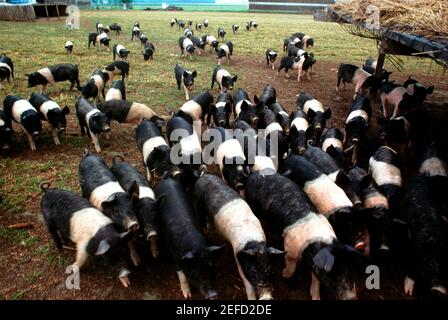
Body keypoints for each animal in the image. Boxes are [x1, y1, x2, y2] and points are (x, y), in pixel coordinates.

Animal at [243, 172, 358, 300]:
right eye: (333, 274)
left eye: (348, 271)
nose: (351, 297)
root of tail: (253, 175)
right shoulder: (290, 247)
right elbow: (291, 264)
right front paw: (284, 274)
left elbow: (315, 277)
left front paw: (316, 297)